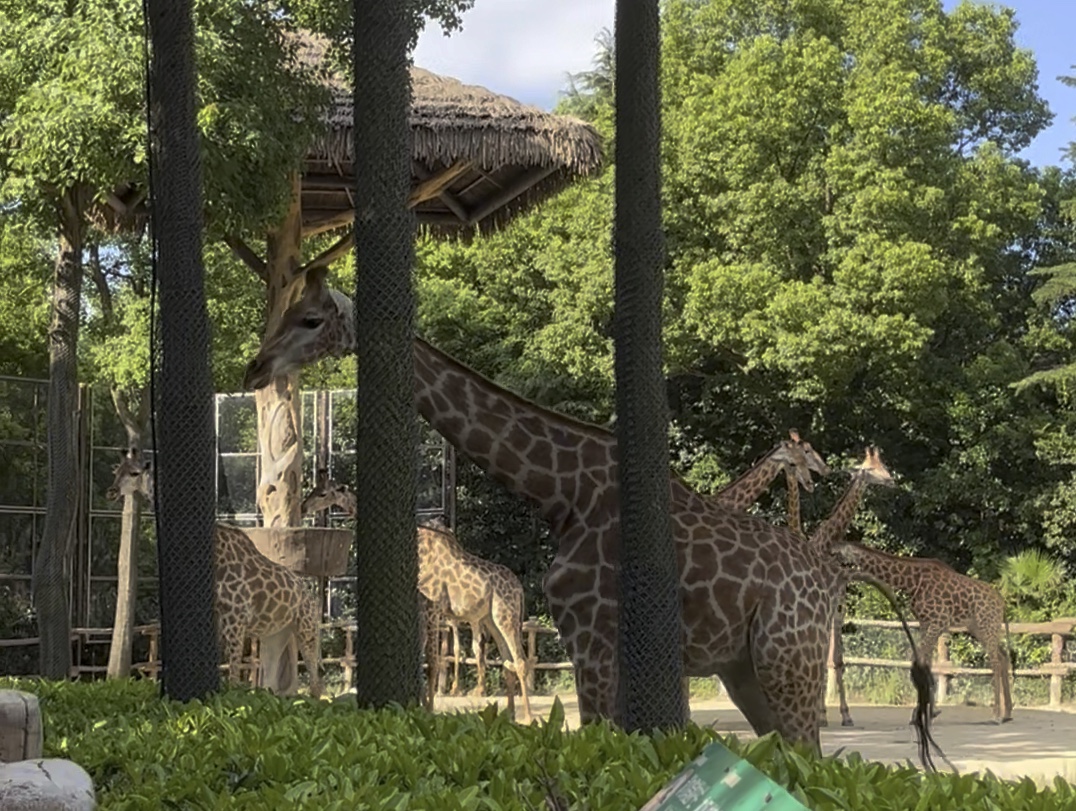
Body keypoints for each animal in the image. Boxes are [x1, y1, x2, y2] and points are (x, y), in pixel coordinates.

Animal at [106, 449, 320, 696]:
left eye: (134, 472)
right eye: (116, 471)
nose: (111, 491)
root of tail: (309, 595)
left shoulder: (236, 619)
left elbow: (234, 674)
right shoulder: (219, 618)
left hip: (306, 625)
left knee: (314, 674)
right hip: (277, 632)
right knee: (274, 675)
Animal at [299, 473, 533, 718]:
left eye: (323, 493)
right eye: (314, 488)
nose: (303, 507)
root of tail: (519, 589)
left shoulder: (431, 607)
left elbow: (432, 661)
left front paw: (428, 710)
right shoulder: (422, 607)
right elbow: (421, 657)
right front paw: (420, 705)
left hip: (505, 616)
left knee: (521, 661)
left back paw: (527, 717)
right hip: (491, 619)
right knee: (508, 663)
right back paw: (509, 715)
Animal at [830, 539, 1015, 722]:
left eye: (839, 552)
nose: (828, 557)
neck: (910, 581)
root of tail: (1002, 603)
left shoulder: (939, 620)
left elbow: (920, 658)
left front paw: (922, 712)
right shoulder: (925, 622)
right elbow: (927, 661)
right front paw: (929, 711)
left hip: (987, 625)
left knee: (995, 662)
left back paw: (996, 715)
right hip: (979, 628)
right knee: (1003, 656)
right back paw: (1007, 713)